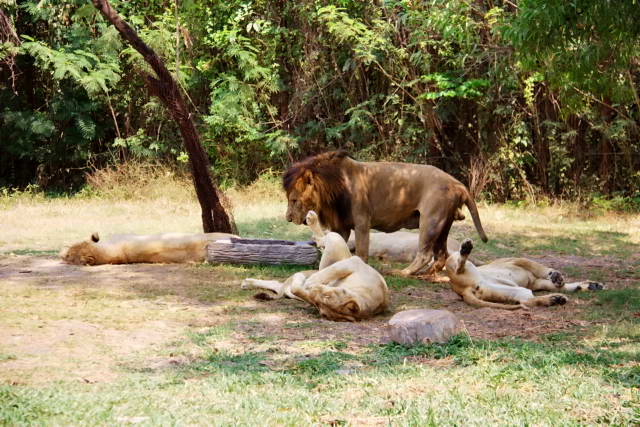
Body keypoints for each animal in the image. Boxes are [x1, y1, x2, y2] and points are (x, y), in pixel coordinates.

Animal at [241, 211, 388, 320]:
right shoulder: (354, 262)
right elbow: (332, 270)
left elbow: (299, 289)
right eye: (326, 296)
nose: (313, 289)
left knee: (278, 285)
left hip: (336, 242)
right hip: (339, 247)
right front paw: (308, 282)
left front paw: (305, 283)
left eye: (319, 303)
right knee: (324, 240)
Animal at [282, 150, 488, 278]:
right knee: (441, 255)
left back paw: (403, 273)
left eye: (294, 200)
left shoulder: (362, 221)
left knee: (425, 253)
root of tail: (457, 183)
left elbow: (361, 251)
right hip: (443, 224)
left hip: (431, 219)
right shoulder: (341, 226)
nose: (288, 218)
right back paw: (426, 274)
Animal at [444, 239, 604, 310]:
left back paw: (555, 299)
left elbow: (562, 286)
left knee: (527, 301)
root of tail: (462, 290)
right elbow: (541, 268)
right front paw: (555, 276)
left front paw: (590, 286)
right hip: (456, 262)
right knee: (458, 265)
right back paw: (465, 248)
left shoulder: (536, 283)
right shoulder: (519, 260)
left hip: (513, 290)